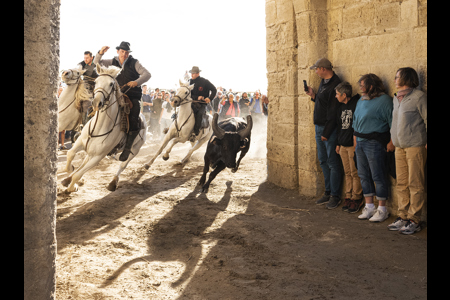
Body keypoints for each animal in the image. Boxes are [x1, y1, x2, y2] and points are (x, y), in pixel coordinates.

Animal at [59, 64, 147, 193]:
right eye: (96, 82)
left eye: (111, 84)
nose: (96, 102)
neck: (99, 127)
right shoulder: (80, 142)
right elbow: (70, 154)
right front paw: (70, 171)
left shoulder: (99, 156)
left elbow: (78, 175)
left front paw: (72, 187)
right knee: (84, 161)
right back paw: (67, 179)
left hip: (135, 150)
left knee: (122, 165)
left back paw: (113, 183)